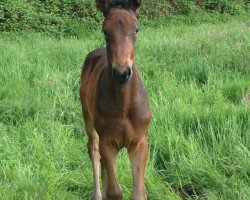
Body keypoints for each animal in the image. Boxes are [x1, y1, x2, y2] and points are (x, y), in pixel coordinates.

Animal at [80, 0, 151, 199]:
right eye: (105, 30)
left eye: (136, 29)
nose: (122, 73)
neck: (124, 106)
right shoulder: (108, 143)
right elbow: (114, 191)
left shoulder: (139, 143)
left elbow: (138, 193)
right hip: (89, 121)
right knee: (94, 151)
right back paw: (97, 194)